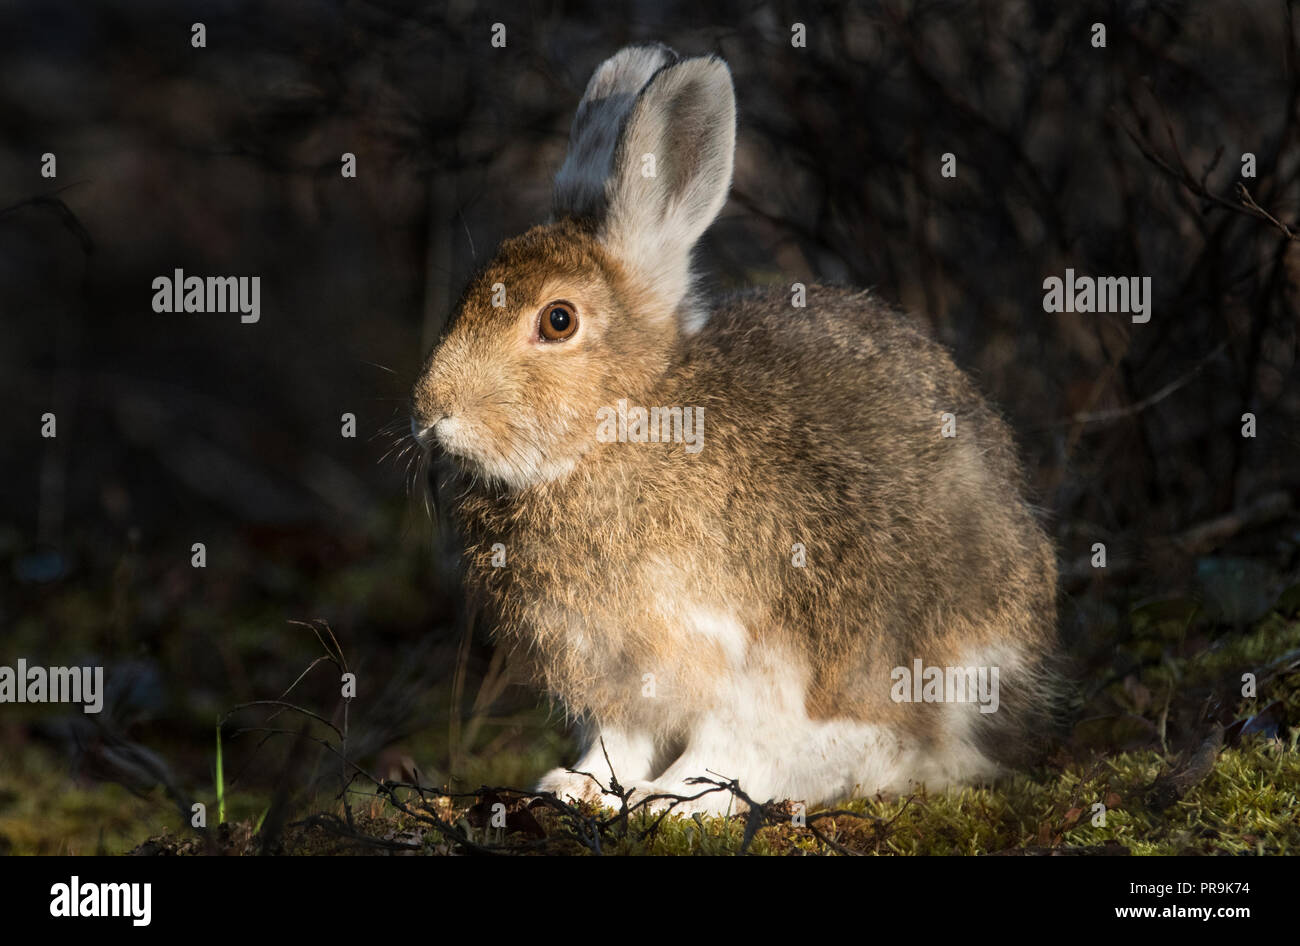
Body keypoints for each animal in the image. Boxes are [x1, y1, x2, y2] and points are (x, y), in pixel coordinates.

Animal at [409, 43, 1059, 816]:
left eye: (557, 320)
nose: (431, 411)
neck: (623, 426)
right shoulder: (616, 677)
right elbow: (617, 742)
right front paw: (575, 786)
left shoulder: (754, 660)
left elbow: (732, 743)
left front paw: (673, 798)